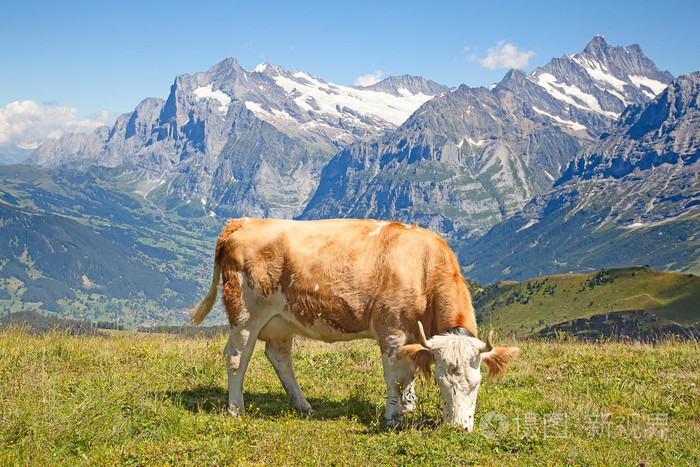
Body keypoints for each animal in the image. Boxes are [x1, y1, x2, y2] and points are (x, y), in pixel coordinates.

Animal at [191, 218, 520, 430]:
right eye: (440, 382)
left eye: (477, 384)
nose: (458, 428)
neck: (424, 266)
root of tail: (244, 221)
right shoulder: (392, 332)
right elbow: (395, 378)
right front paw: (393, 417)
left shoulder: (416, 338)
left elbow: (410, 372)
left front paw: (409, 406)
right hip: (246, 313)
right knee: (237, 357)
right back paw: (236, 409)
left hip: (281, 320)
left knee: (279, 357)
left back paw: (303, 406)